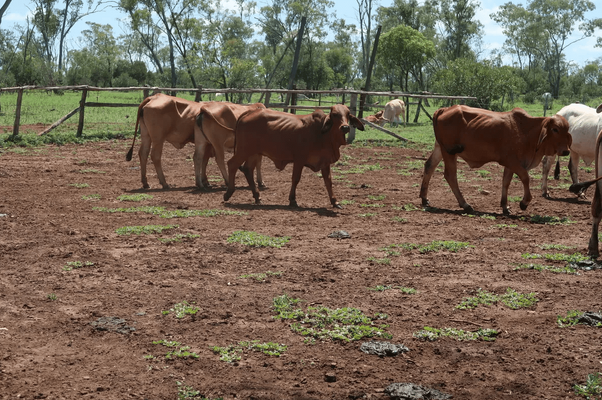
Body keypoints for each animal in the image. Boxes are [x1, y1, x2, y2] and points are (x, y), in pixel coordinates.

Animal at [220, 103, 360, 209]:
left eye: (348, 114)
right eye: (335, 115)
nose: (345, 127)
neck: (322, 134)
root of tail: (249, 113)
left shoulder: (325, 162)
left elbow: (328, 181)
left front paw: (335, 202)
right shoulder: (299, 160)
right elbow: (295, 179)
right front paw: (292, 200)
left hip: (254, 153)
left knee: (247, 169)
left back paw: (257, 196)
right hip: (244, 151)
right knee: (232, 164)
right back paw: (229, 193)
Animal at [420, 104, 568, 214]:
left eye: (567, 129)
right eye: (555, 129)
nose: (566, 151)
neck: (526, 130)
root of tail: (444, 109)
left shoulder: (511, 164)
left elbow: (506, 182)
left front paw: (505, 206)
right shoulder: (513, 162)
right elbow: (525, 178)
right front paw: (524, 202)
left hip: (440, 148)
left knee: (429, 166)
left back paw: (424, 198)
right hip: (449, 152)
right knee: (450, 175)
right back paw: (465, 204)